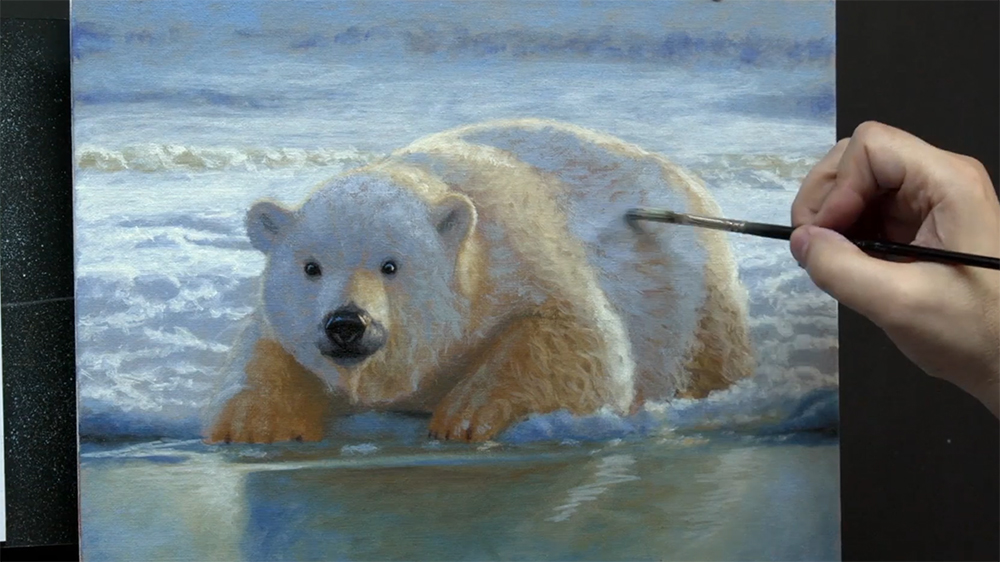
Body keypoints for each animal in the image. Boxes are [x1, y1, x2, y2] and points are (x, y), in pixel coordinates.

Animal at [203, 118, 753, 444]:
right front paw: (255, 424)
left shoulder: (519, 252)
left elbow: (583, 340)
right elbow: (262, 352)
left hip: (698, 285)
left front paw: (464, 416)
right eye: (311, 267)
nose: (346, 324)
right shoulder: (284, 321)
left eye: (390, 265)